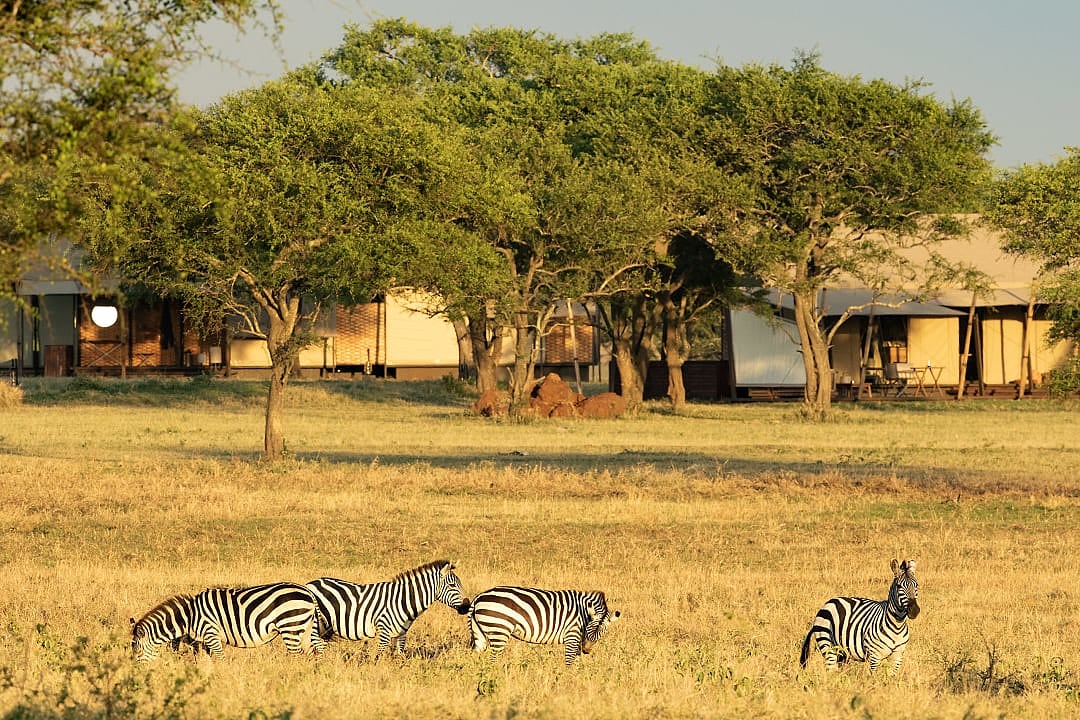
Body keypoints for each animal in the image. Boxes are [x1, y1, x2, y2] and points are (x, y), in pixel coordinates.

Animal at [130, 582, 318, 662]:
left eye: (137, 650)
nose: (136, 671)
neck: (189, 616)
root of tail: (309, 592)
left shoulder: (211, 633)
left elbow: (220, 659)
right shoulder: (204, 640)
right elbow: (206, 661)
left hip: (290, 626)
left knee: (296, 656)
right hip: (304, 628)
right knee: (311, 654)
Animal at [305, 560, 470, 656]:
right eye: (452, 585)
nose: (467, 606)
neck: (402, 600)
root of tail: (311, 583)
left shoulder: (402, 633)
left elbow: (400, 656)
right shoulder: (383, 630)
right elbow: (377, 657)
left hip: (325, 629)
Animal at [469, 586, 620, 666]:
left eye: (602, 633)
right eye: (589, 629)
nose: (587, 651)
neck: (582, 613)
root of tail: (478, 597)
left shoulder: (577, 640)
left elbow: (576, 663)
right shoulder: (572, 636)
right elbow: (570, 662)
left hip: (481, 633)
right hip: (499, 630)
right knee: (493, 660)